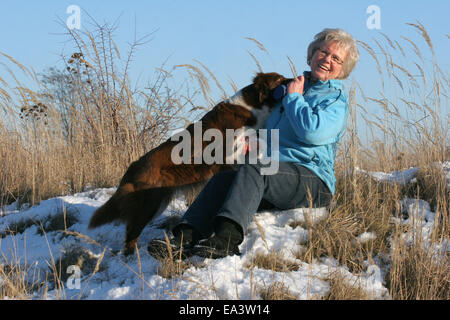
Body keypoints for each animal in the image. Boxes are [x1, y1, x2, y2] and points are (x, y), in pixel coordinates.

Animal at [89, 72, 288, 255]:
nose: (295, 79)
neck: (252, 109)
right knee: (131, 235)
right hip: (149, 205)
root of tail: (131, 169)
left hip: (158, 202)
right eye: (279, 79)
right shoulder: (228, 160)